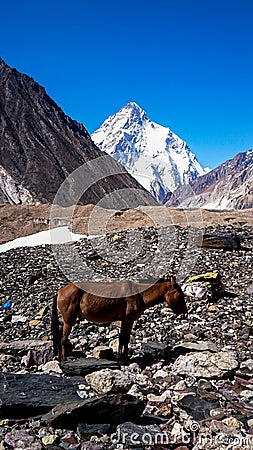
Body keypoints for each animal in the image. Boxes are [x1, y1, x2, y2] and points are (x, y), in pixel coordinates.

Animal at [51, 276, 187, 360]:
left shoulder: (129, 322)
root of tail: (59, 292)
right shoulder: (126, 320)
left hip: (66, 321)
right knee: (63, 338)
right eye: (180, 294)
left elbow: (125, 339)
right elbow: (123, 339)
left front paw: (124, 356)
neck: (139, 295)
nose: (185, 313)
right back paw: (64, 358)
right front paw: (121, 358)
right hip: (69, 320)